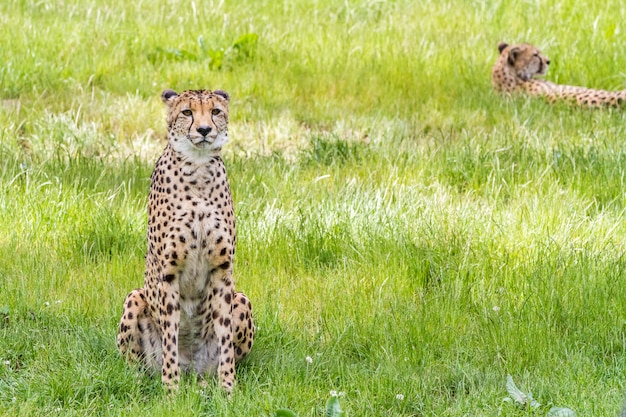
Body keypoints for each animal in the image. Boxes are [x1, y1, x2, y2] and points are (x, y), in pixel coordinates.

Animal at [117, 88, 254, 394]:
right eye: (187, 112)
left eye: (215, 111)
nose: (204, 130)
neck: (199, 169)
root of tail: (193, 368)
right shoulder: (169, 273)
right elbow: (170, 335)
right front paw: (170, 390)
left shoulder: (222, 270)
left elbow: (225, 338)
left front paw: (228, 388)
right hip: (134, 298)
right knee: (134, 365)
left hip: (242, 298)